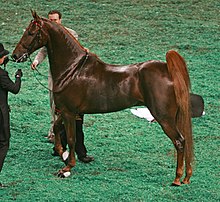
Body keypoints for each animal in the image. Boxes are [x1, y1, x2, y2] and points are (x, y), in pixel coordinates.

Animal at [12, 10, 192, 185]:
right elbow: (57, 128)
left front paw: (67, 167)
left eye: (30, 32)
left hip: (164, 117)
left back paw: (177, 178)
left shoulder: (69, 112)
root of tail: (166, 69)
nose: (15, 55)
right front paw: (61, 153)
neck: (72, 69)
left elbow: (71, 138)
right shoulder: (66, 110)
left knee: (180, 141)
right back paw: (186, 177)